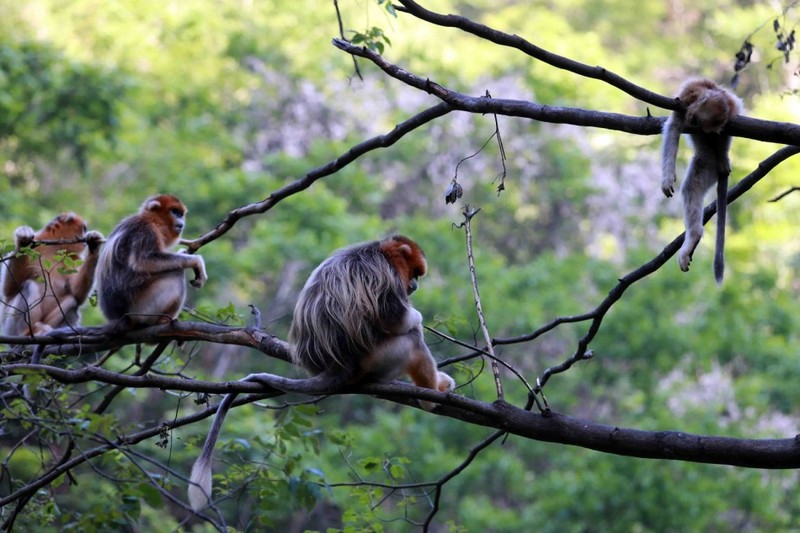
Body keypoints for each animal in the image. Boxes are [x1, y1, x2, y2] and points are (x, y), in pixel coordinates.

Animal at [96, 193, 206, 326]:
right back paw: (163, 320)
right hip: (140, 310)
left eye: (180, 214)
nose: (181, 222)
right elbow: (143, 261)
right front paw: (196, 261)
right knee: (175, 272)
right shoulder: (146, 231)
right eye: (174, 212)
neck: (152, 220)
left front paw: (183, 252)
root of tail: (116, 317)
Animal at [664, 77, 744, 282]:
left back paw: (694, 235)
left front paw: (666, 178)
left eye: (698, 121)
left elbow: (673, 125)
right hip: (708, 165)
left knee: (689, 189)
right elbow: (674, 125)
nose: (691, 119)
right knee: (692, 188)